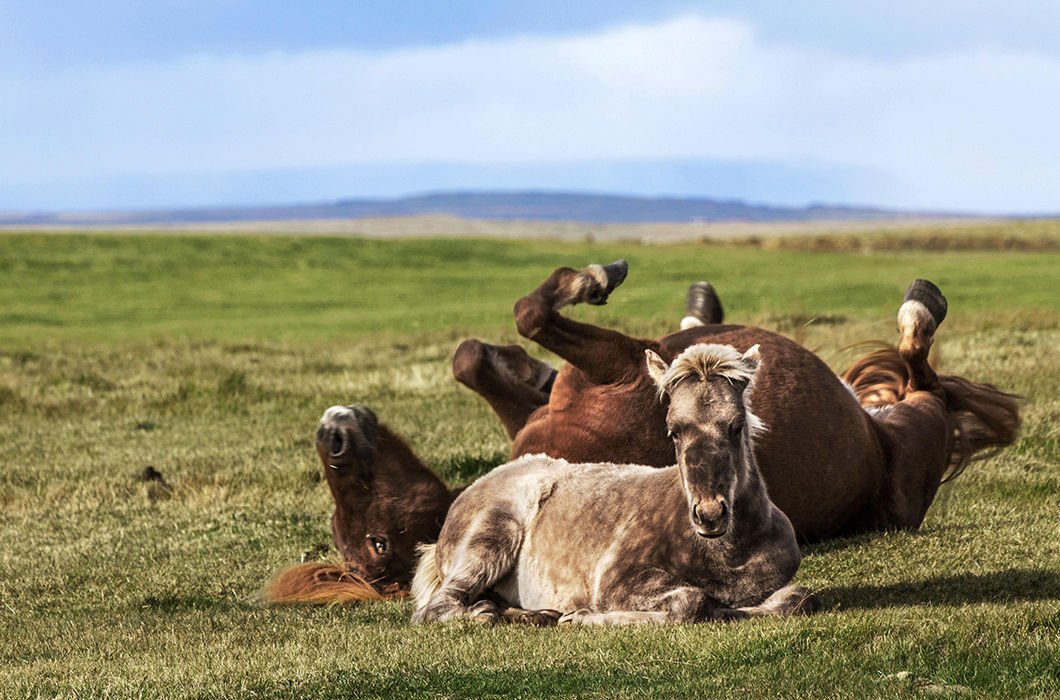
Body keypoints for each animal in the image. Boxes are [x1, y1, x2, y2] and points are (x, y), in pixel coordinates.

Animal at [409, 341, 814, 627]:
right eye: (674, 431)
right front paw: (582, 617)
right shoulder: (617, 581)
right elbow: (692, 601)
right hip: (491, 536)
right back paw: (491, 614)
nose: (710, 514)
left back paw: (533, 615)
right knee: (437, 607)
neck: (728, 556)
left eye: (736, 425)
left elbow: (799, 598)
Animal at [453, 263, 1017, 540]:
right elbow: (526, 317)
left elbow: (475, 352)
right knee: (923, 372)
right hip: (917, 434)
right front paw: (593, 278)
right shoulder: (623, 363)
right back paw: (923, 303)